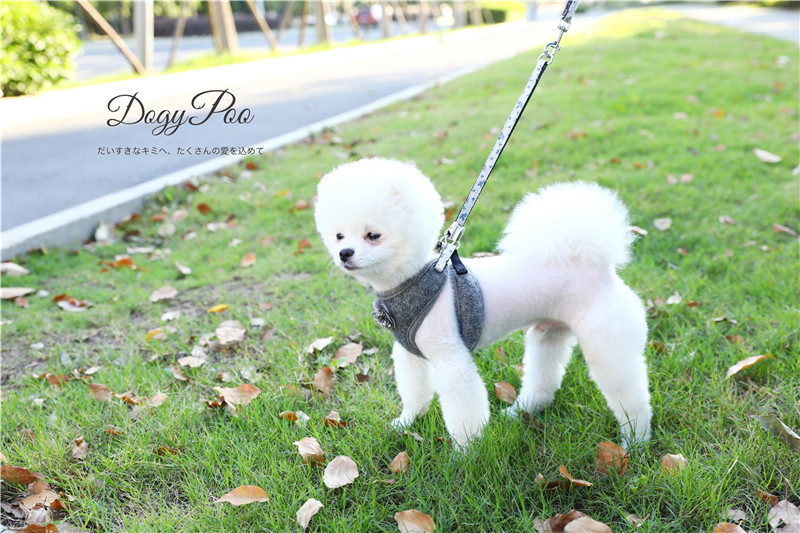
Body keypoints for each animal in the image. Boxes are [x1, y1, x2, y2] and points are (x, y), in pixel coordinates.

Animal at [314, 157, 651, 449]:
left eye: (373, 235)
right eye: (338, 235)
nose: (344, 253)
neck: (411, 281)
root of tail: (595, 262)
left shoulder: (451, 359)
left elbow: (463, 409)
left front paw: (465, 454)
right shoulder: (410, 355)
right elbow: (414, 392)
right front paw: (407, 422)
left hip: (606, 342)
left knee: (630, 396)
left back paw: (635, 441)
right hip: (549, 334)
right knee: (543, 380)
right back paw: (520, 412)